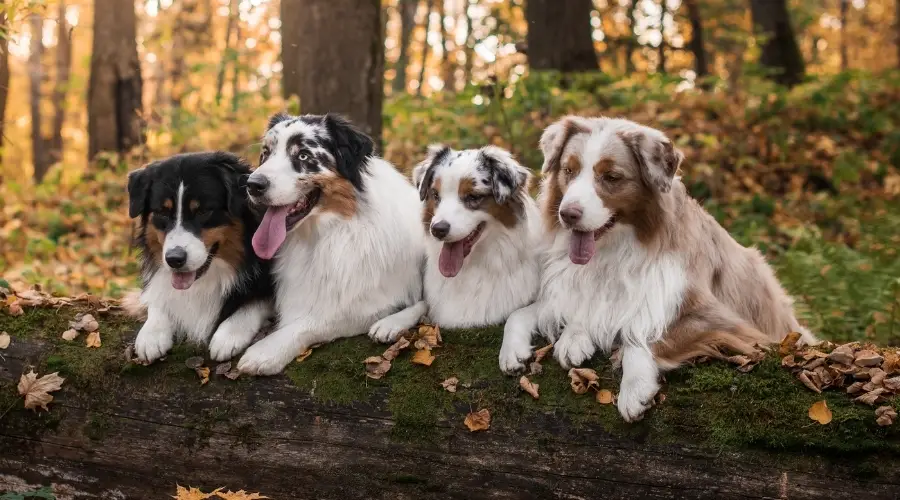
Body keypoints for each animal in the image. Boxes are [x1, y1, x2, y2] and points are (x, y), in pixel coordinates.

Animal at [127, 151, 274, 364]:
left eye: (203, 211)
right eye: (162, 212)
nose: (174, 260)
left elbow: (255, 302)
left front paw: (229, 334)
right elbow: (158, 296)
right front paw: (152, 333)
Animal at [368, 145, 536, 340]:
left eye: (472, 196)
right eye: (435, 194)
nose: (437, 230)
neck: (474, 266)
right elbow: (423, 303)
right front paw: (392, 322)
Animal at [500, 116, 816, 422]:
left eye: (611, 177)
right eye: (569, 170)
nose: (567, 214)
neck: (615, 250)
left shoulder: (721, 320)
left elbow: (641, 335)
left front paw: (635, 388)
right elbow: (524, 313)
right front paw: (525, 346)